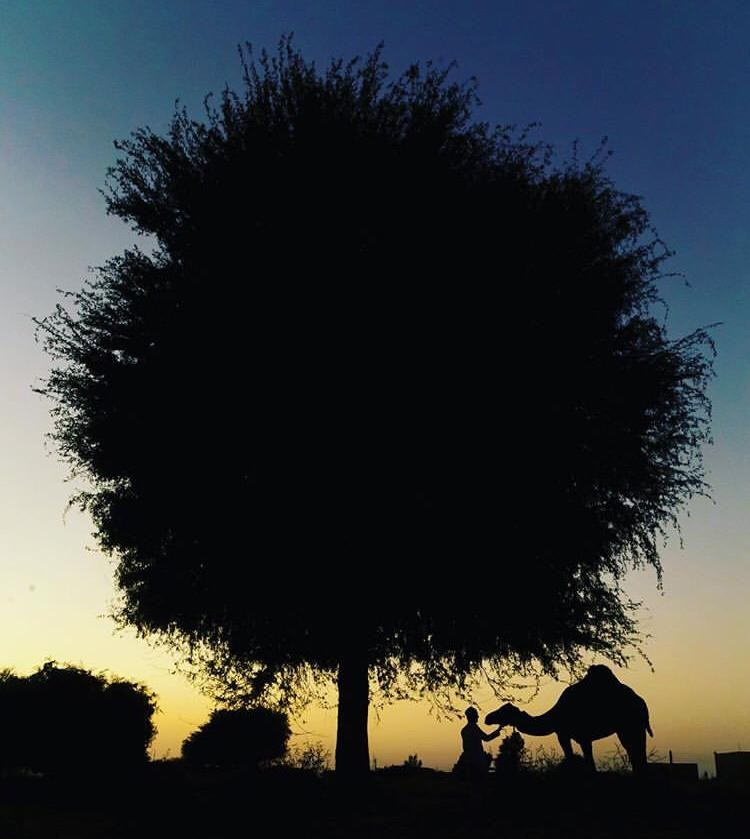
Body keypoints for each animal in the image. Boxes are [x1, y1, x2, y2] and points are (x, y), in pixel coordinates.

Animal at [485, 665, 653, 773]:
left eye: (503, 710)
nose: (487, 718)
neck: (555, 716)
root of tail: (642, 702)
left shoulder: (570, 735)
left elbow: (583, 763)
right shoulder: (580, 737)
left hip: (631, 726)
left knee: (637, 754)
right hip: (630, 728)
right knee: (636, 755)